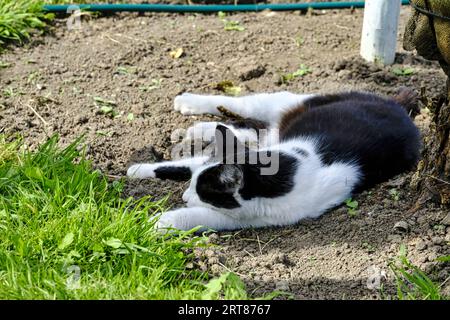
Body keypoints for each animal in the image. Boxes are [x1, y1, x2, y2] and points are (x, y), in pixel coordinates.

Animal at [127, 90, 422, 232]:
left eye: (203, 191)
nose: (185, 196)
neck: (289, 168)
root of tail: (398, 106)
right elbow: (186, 163)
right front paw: (137, 168)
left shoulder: (250, 217)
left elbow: (199, 216)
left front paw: (155, 223)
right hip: (287, 102)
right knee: (241, 108)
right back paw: (190, 105)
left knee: (249, 130)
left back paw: (199, 128)